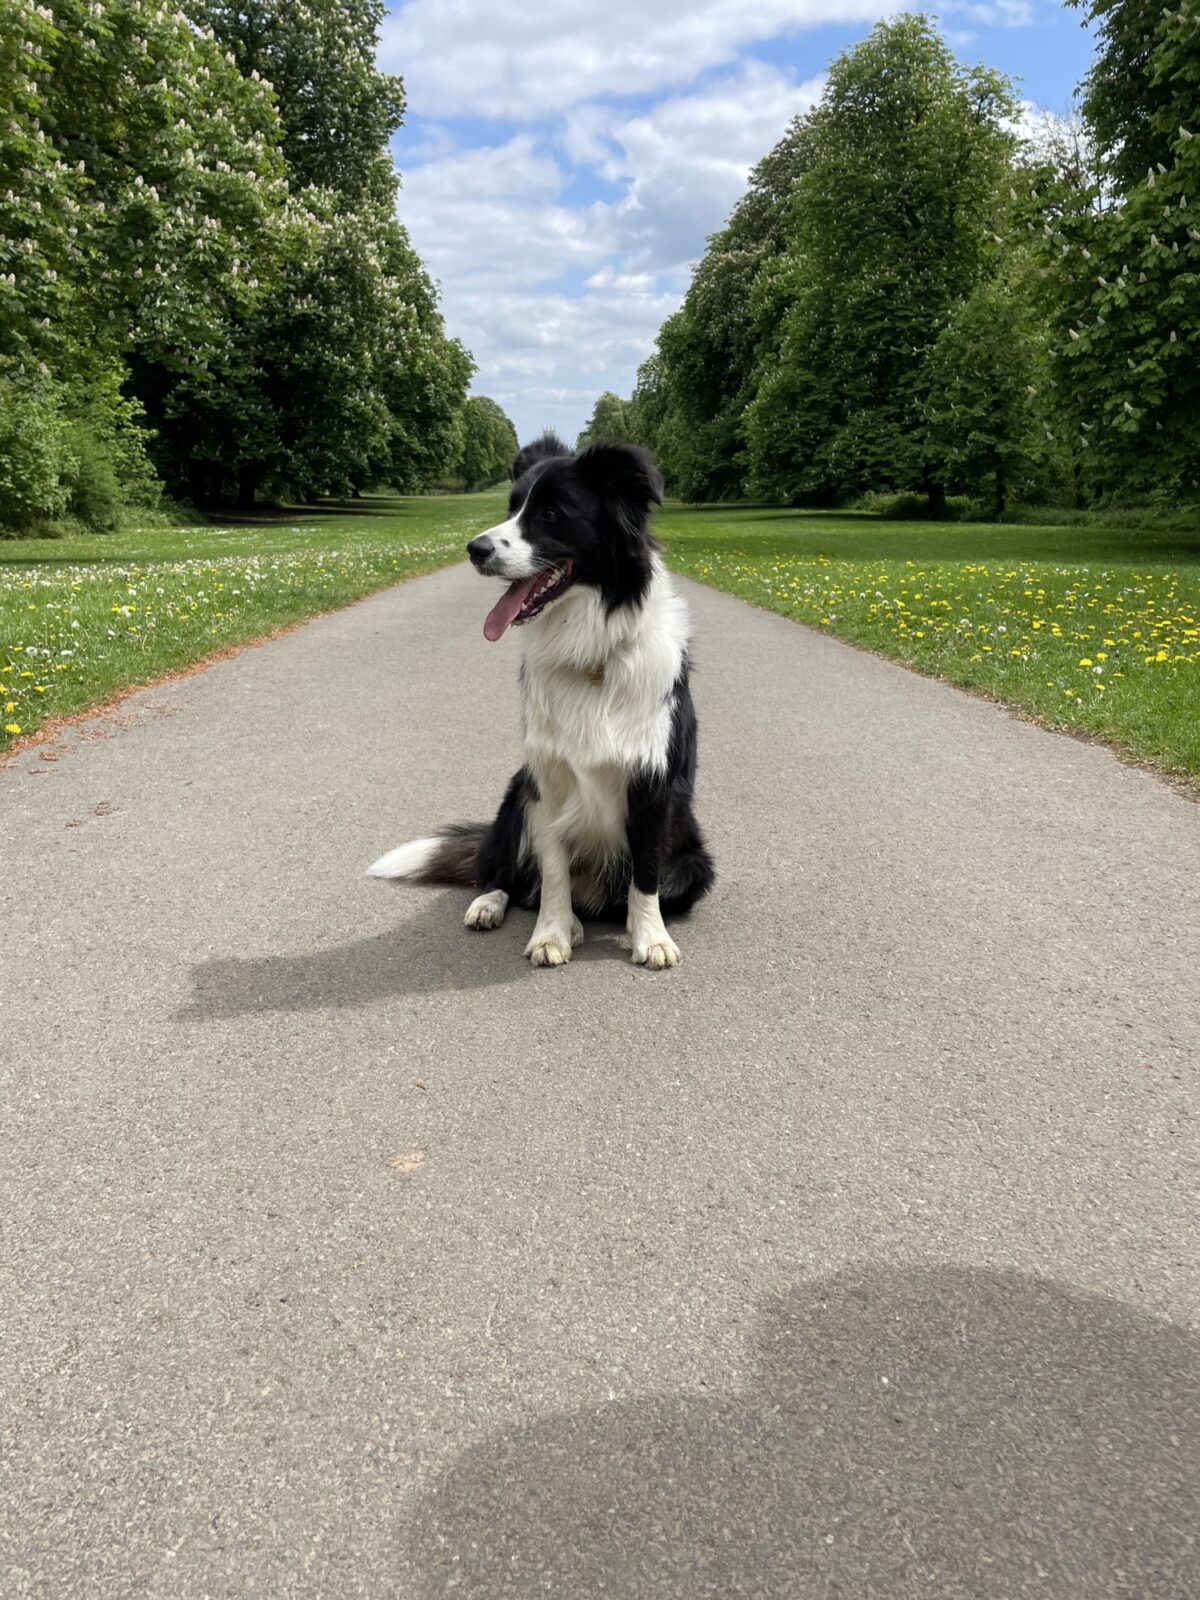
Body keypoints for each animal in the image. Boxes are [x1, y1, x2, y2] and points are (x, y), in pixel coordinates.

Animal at [369, 432, 713, 966]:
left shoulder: (653, 783)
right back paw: (501, 906)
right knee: (508, 876)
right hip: (516, 793)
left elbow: (646, 876)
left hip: (695, 860)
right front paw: (551, 933)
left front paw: (651, 938)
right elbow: (553, 871)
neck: (590, 649)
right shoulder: (547, 779)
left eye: (552, 513)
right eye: (512, 507)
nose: (475, 549)